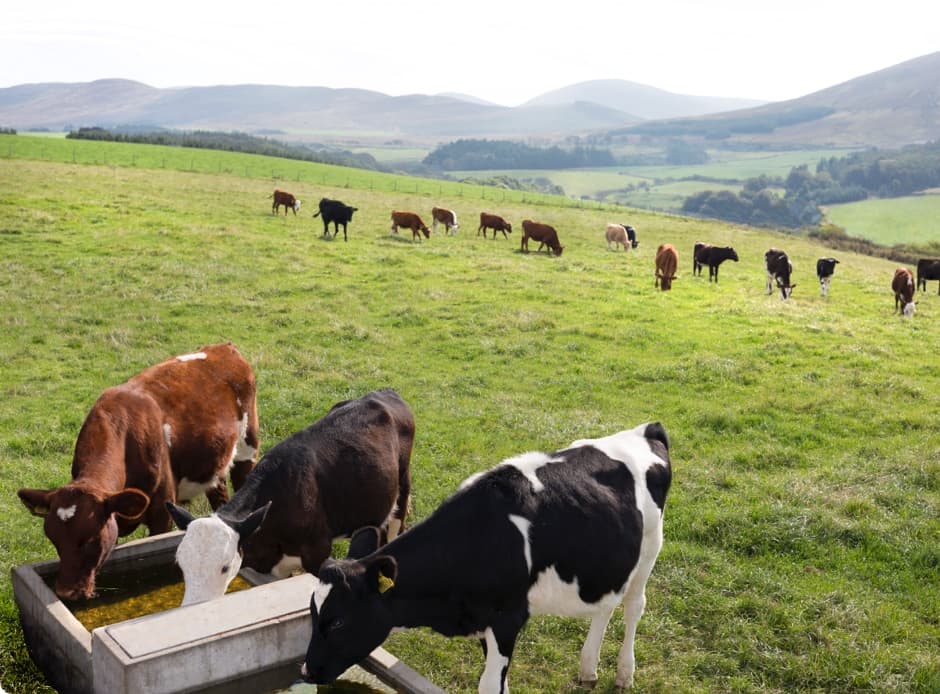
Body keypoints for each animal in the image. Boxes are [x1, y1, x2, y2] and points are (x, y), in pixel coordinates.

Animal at [19, 346, 260, 600]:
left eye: (91, 539)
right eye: (52, 538)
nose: (66, 593)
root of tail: (223, 347)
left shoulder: (162, 512)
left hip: (248, 448)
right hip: (214, 465)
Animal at [298, 422, 672, 692]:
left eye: (338, 621)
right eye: (313, 613)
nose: (306, 671)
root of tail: (646, 429)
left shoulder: (507, 620)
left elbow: (490, 686)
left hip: (651, 547)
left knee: (633, 606)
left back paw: (624, 673)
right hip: (609, 563)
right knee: (606, 606)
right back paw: (589, 669)